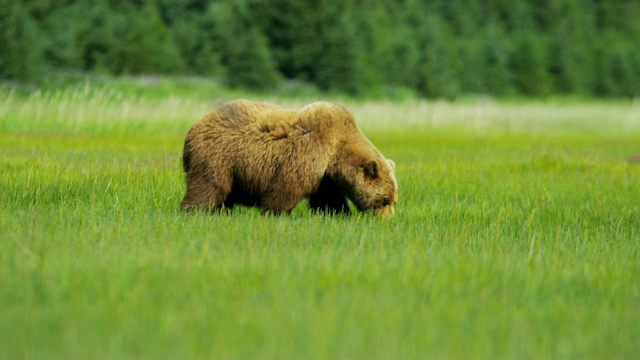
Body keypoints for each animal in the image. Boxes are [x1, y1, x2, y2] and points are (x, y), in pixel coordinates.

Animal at [180, 98, 398, 215]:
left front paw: (339, 214)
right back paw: (194, 211)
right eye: (384, 200)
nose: (388, 219)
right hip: (218, 157)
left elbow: (328, 199)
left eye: (393, 201)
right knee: (208, 186)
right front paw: (274, 213)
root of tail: (194, 126)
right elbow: (285, 189)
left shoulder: (325, 176)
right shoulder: (309, 153)